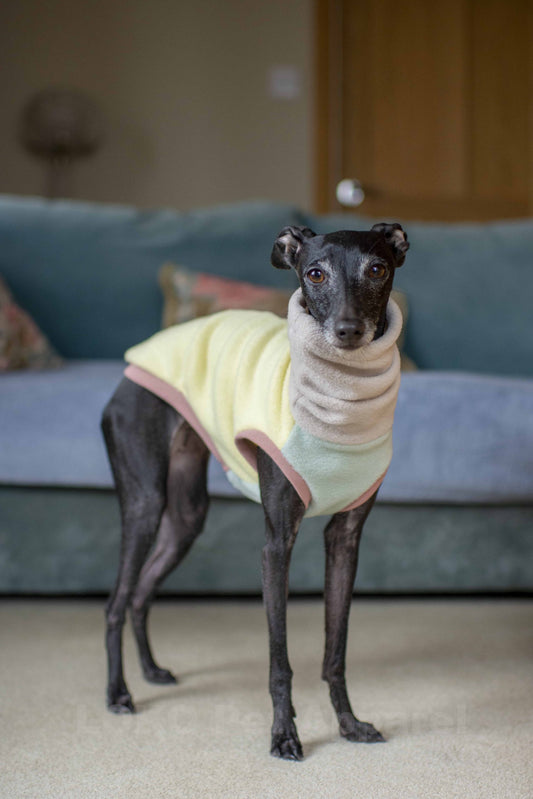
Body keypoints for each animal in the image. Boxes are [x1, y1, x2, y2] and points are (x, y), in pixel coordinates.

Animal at [102, 222, 410, 760]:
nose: (348, 331)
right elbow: (279, 661)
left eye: (377, 269)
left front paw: (349, 723)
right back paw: (119, 693)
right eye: (314, 273)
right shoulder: (276, 545)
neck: (340, 405)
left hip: (186, 516)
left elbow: (335, 652)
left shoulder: (346, 541)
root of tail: (132, 364)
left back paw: (152, 672)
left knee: (140, 593)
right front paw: (284, 734)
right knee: (116, 603)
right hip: (145, 502)